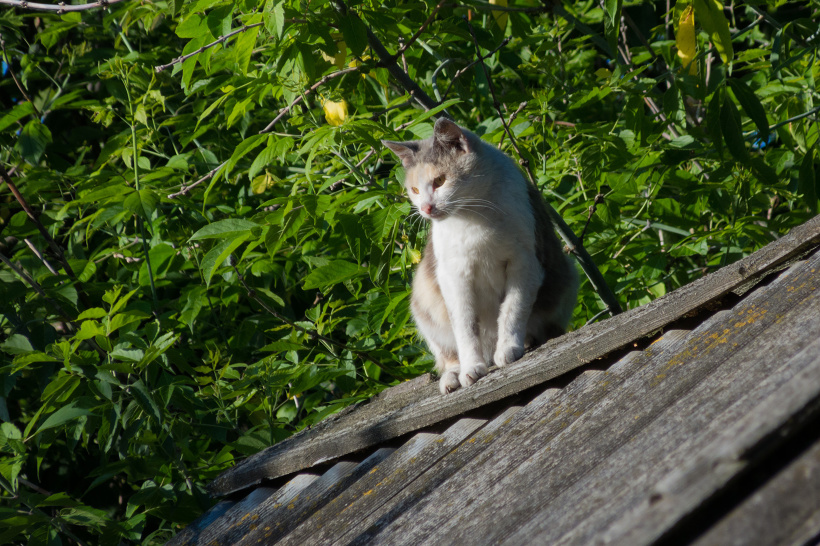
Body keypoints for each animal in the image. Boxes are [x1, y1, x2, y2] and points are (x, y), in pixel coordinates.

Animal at [383, 118, 579, 394]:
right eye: (414, 190)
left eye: (440, 180)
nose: (426, 208)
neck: (474, 215)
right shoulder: (453, 276)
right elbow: (465, 325)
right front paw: (471, 369)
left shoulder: (524, 262)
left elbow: (513, 308)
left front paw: (508, 348)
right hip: (422, 299)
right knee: (447, 355)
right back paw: (453, 377)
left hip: (568, 275)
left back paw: (528, 340)